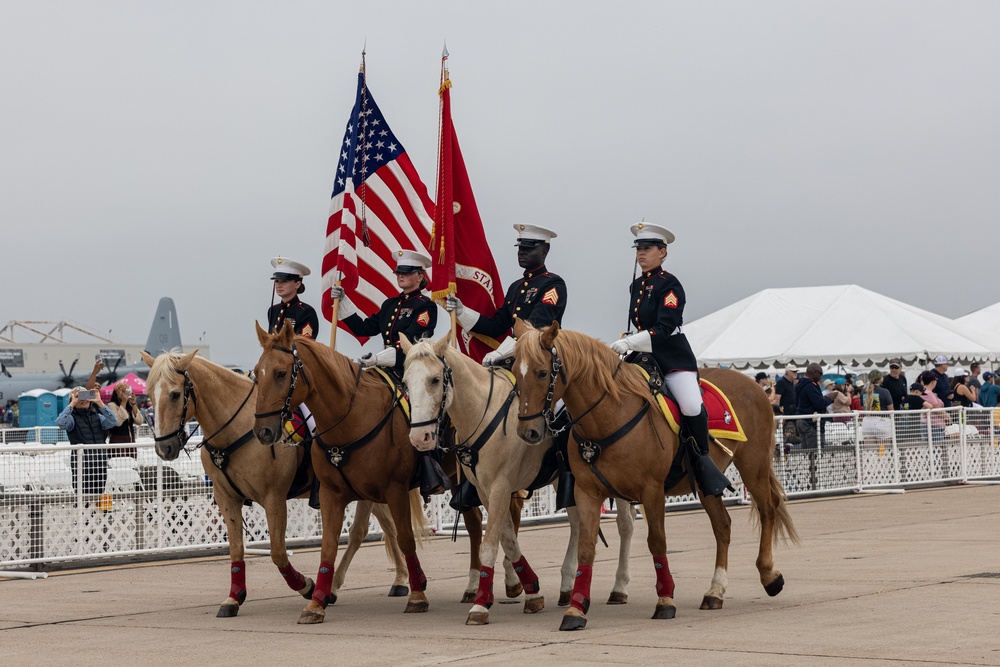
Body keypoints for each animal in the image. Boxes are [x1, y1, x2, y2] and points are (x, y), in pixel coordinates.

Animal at [143, 352, 408, 620]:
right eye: (150, 393)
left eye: (175, 394)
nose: (164, 448)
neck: (237, 428)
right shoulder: (227, 499)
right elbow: (236, 549)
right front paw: (234, 597)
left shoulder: (274, 499)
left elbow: (278, 553)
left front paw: (306, 585)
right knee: (388, 527)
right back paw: (398, 579)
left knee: (361, 532)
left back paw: (342, 586)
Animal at [254, 324, 430, 628]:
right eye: (256, 372)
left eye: (280, 373)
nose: (262, 431)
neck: (351, 420)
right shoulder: (330, 494)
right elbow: (328, 546)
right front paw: (316, 602)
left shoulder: (395, 489)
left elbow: (406, 537)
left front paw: (418, 595)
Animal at [398, 340, 632, 628]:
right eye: (405, 382)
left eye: (434, 379)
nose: (419, 437)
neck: (483, 413)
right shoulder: (485, 491)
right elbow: (508, 539)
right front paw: (531, 591)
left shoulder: (500, 487)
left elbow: (490, 544)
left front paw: (480, 604)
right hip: (564, 478)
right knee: (578, 524)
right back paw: (567, 586)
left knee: (625, 526)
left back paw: (619, 587)